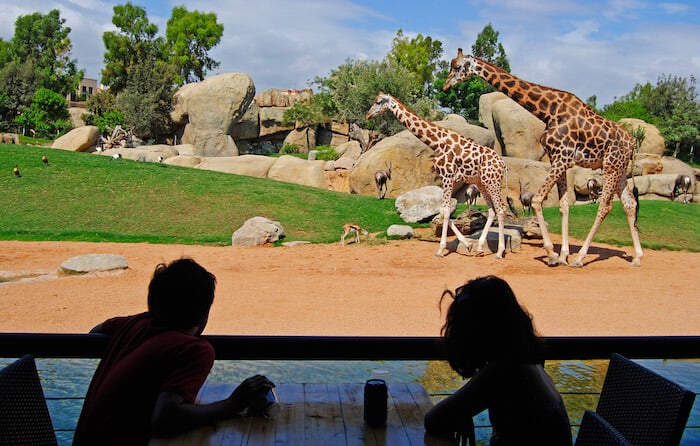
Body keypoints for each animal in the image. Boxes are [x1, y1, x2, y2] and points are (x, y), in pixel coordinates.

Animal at [364, 91, 506, 258]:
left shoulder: (447, 176)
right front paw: (468, 244)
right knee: (492, 211)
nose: (368, 115)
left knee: (501, 210)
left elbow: (445, 211)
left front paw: (440, 249)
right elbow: (443, 211)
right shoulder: (448, 178)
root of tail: (503, 164)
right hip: (481, 183)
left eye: (378, 102)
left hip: (493, 182)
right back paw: (480, 249)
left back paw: (499, 252)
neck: (437, 142)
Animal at [446, 48, 644, 266]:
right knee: (629, 204)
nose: (445, 85)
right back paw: (637, 257)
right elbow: (564, 205)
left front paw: (552, 253)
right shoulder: (561, 160)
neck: (548, 111)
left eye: (457, 66)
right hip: (620, 169)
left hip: (610, 166)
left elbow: (537, 200)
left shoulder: (561, 157)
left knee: (605, 207)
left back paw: (581, 257)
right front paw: (563, 255)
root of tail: (632, 143)